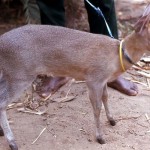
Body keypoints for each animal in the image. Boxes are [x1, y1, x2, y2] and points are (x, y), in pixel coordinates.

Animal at [0, 3, 150, 150]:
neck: (117, 57)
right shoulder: (94, 79)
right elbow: (97, 107)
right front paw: (100, 137)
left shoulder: (103, 80)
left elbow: (106, 98)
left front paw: (112, 120)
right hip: (19, 74)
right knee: (2, 102)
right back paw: (12, 142)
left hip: (9, 74)